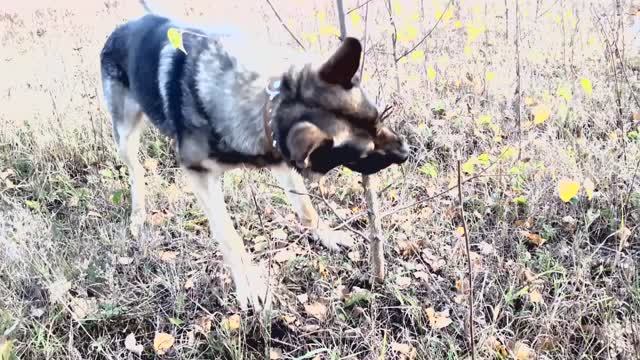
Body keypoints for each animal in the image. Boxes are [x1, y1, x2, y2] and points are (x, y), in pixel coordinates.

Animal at [100, 3, 410, 312]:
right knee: (137, 171)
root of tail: (123, 27)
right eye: (363, 153)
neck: (265, 104)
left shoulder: (281, 160)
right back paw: (138, 215)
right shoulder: (199, 175)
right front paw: (250, 287)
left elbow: (306, 207)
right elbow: (229, 236)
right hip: (125, 138)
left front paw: (326, 235)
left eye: (378, 120)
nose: (406, 152)